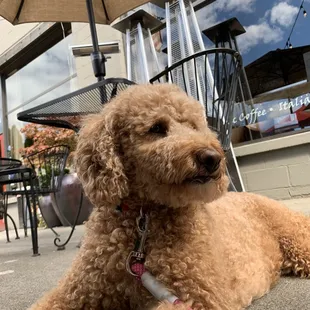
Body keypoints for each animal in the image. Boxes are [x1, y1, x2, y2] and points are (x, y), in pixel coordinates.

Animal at [30, 83, 310, 308]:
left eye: (194, 126)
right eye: (156, 128)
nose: (212, 158)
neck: (144, 219)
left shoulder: (201, 296)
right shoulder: (79, 289)